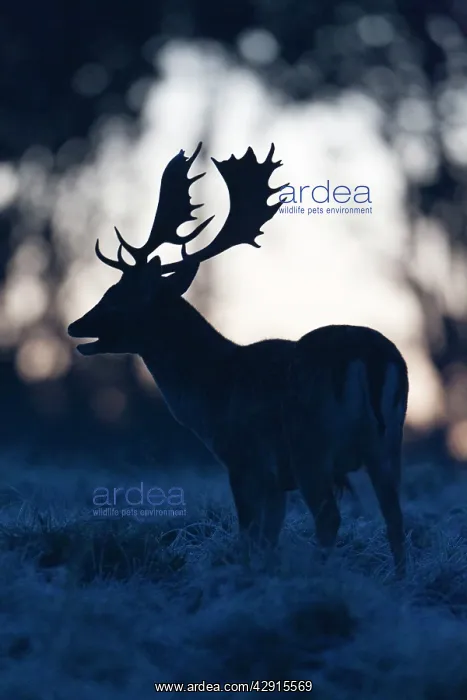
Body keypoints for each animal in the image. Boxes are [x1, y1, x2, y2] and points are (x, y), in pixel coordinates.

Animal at [68, 142, 409, 575]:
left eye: (117, 298)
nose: (75, 325)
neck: (209, 393)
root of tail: (373, 359)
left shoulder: (244, 459)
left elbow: (249, 533)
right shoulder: (276, 480)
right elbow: (269, 536)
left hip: (311, 443)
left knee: (330, 517)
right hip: (389, 444)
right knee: (396, 517)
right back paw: (400, 580)